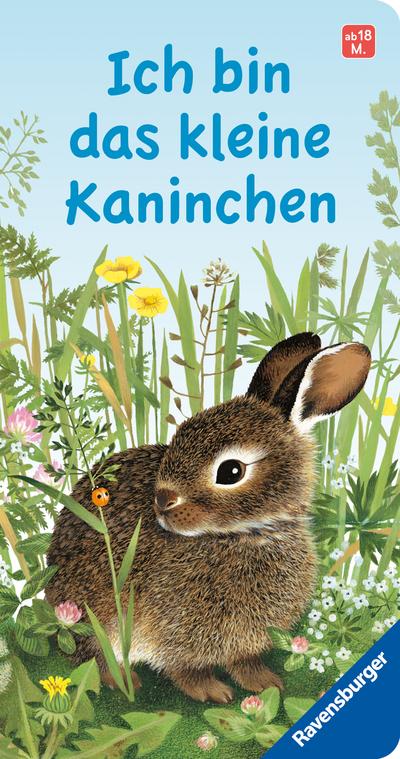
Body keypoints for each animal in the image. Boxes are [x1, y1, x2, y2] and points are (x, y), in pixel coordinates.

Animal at [46, 332, 371, 703]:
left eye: (231, 471)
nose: (162, 500)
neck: (244, 533)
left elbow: (245, 662)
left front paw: (266, 684)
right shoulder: (172, 632)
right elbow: (185, 669)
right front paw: (214, 692)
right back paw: (124, 681)